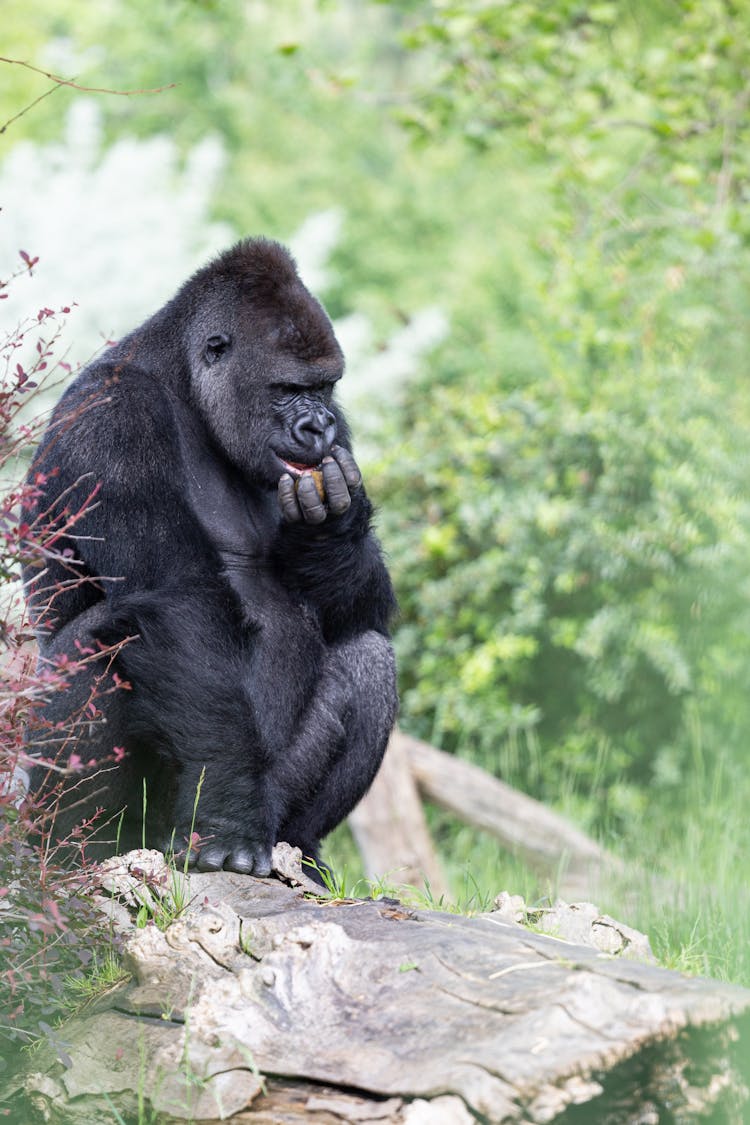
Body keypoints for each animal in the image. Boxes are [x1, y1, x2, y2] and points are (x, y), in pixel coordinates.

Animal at [23, 239, 398, 877]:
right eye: (285, 390)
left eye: (324, 390)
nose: (317, 428)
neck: (182, 380)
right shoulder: (113, 419)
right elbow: (177, 602)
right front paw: (226, 814)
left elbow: (362, 608)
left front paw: (333, 534)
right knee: (101, 644)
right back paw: (77, 848)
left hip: (270, 808)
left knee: (368, 656)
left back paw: (304, 848)